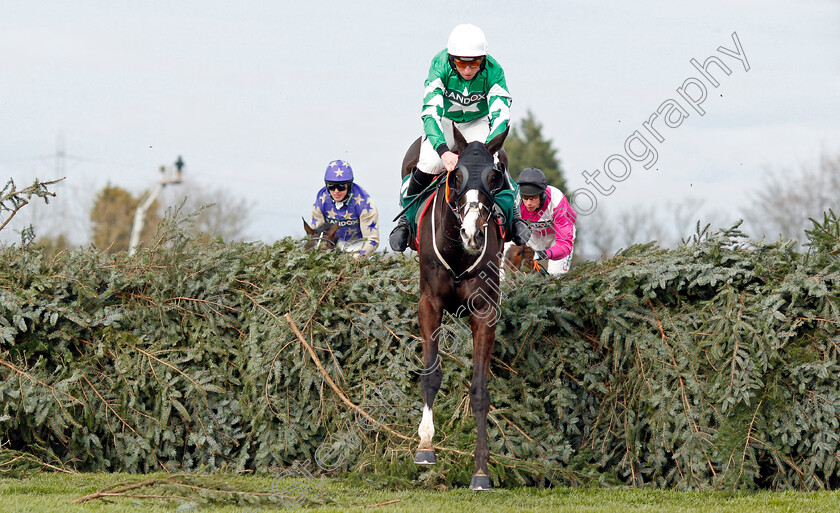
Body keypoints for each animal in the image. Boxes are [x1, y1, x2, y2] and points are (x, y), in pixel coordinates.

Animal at [406, 127, 506, 488]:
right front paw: (425, 447)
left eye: (494, 177)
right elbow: (431, 375)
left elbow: (479, 390)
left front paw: (481, 470)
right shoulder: (429, 304)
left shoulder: (485, 312)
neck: (459, 251)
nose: (473, 233)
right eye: (457, 175)